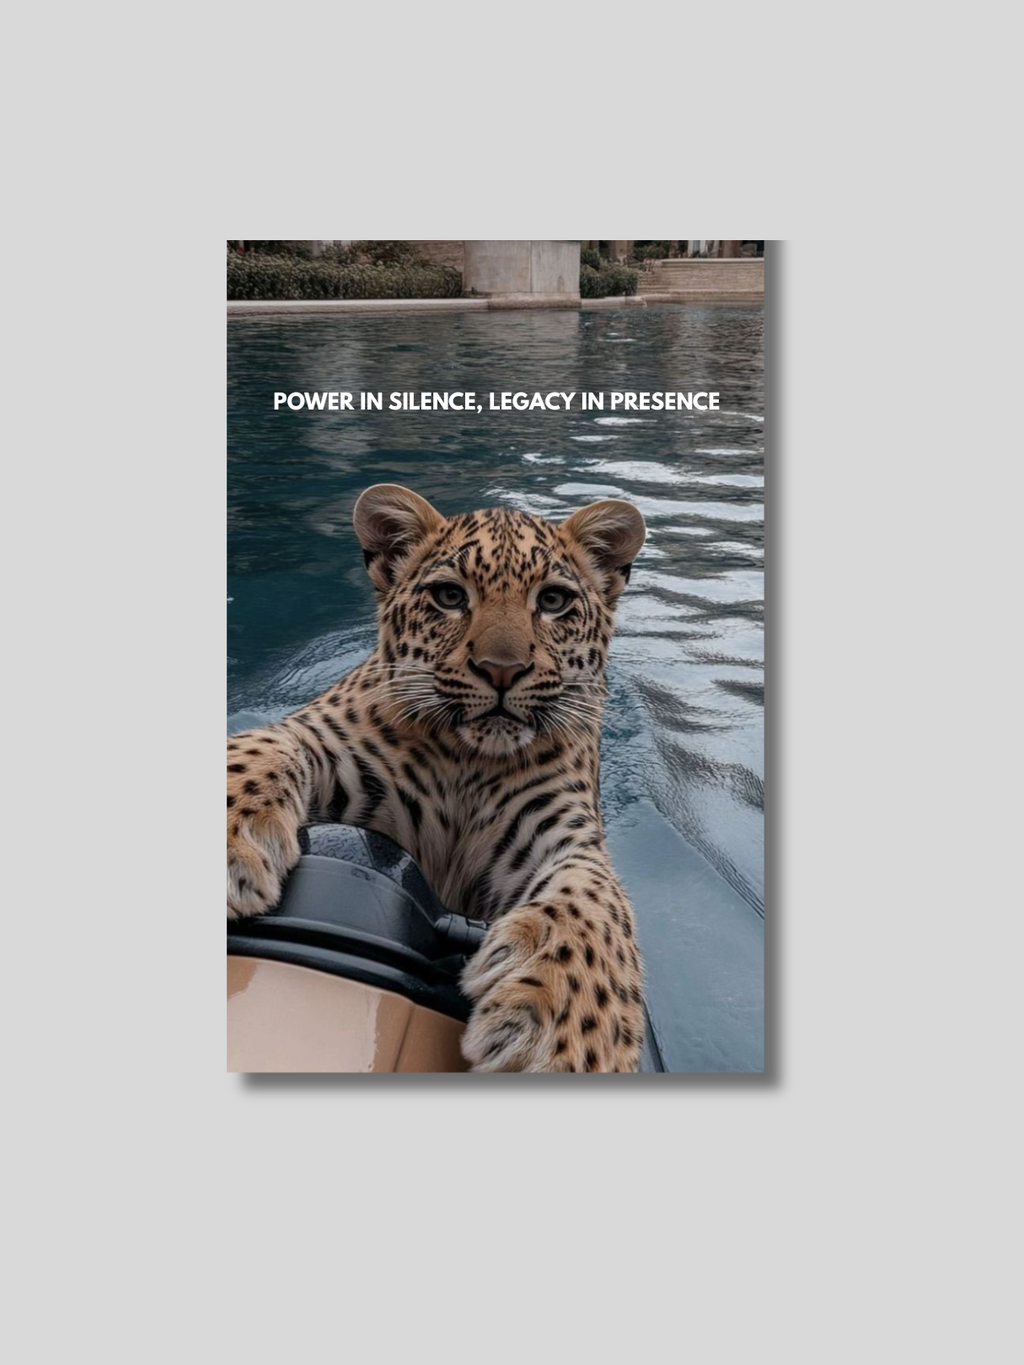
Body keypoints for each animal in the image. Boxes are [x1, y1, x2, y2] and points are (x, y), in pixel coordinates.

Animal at [227, 484, 648, 1073]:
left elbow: (596, 900)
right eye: (449, 596)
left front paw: (568, 1034)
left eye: (553, 601)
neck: (468, 762)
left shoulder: (563, 828)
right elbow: (264, 746)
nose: (501, 669)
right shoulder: (324, 740)